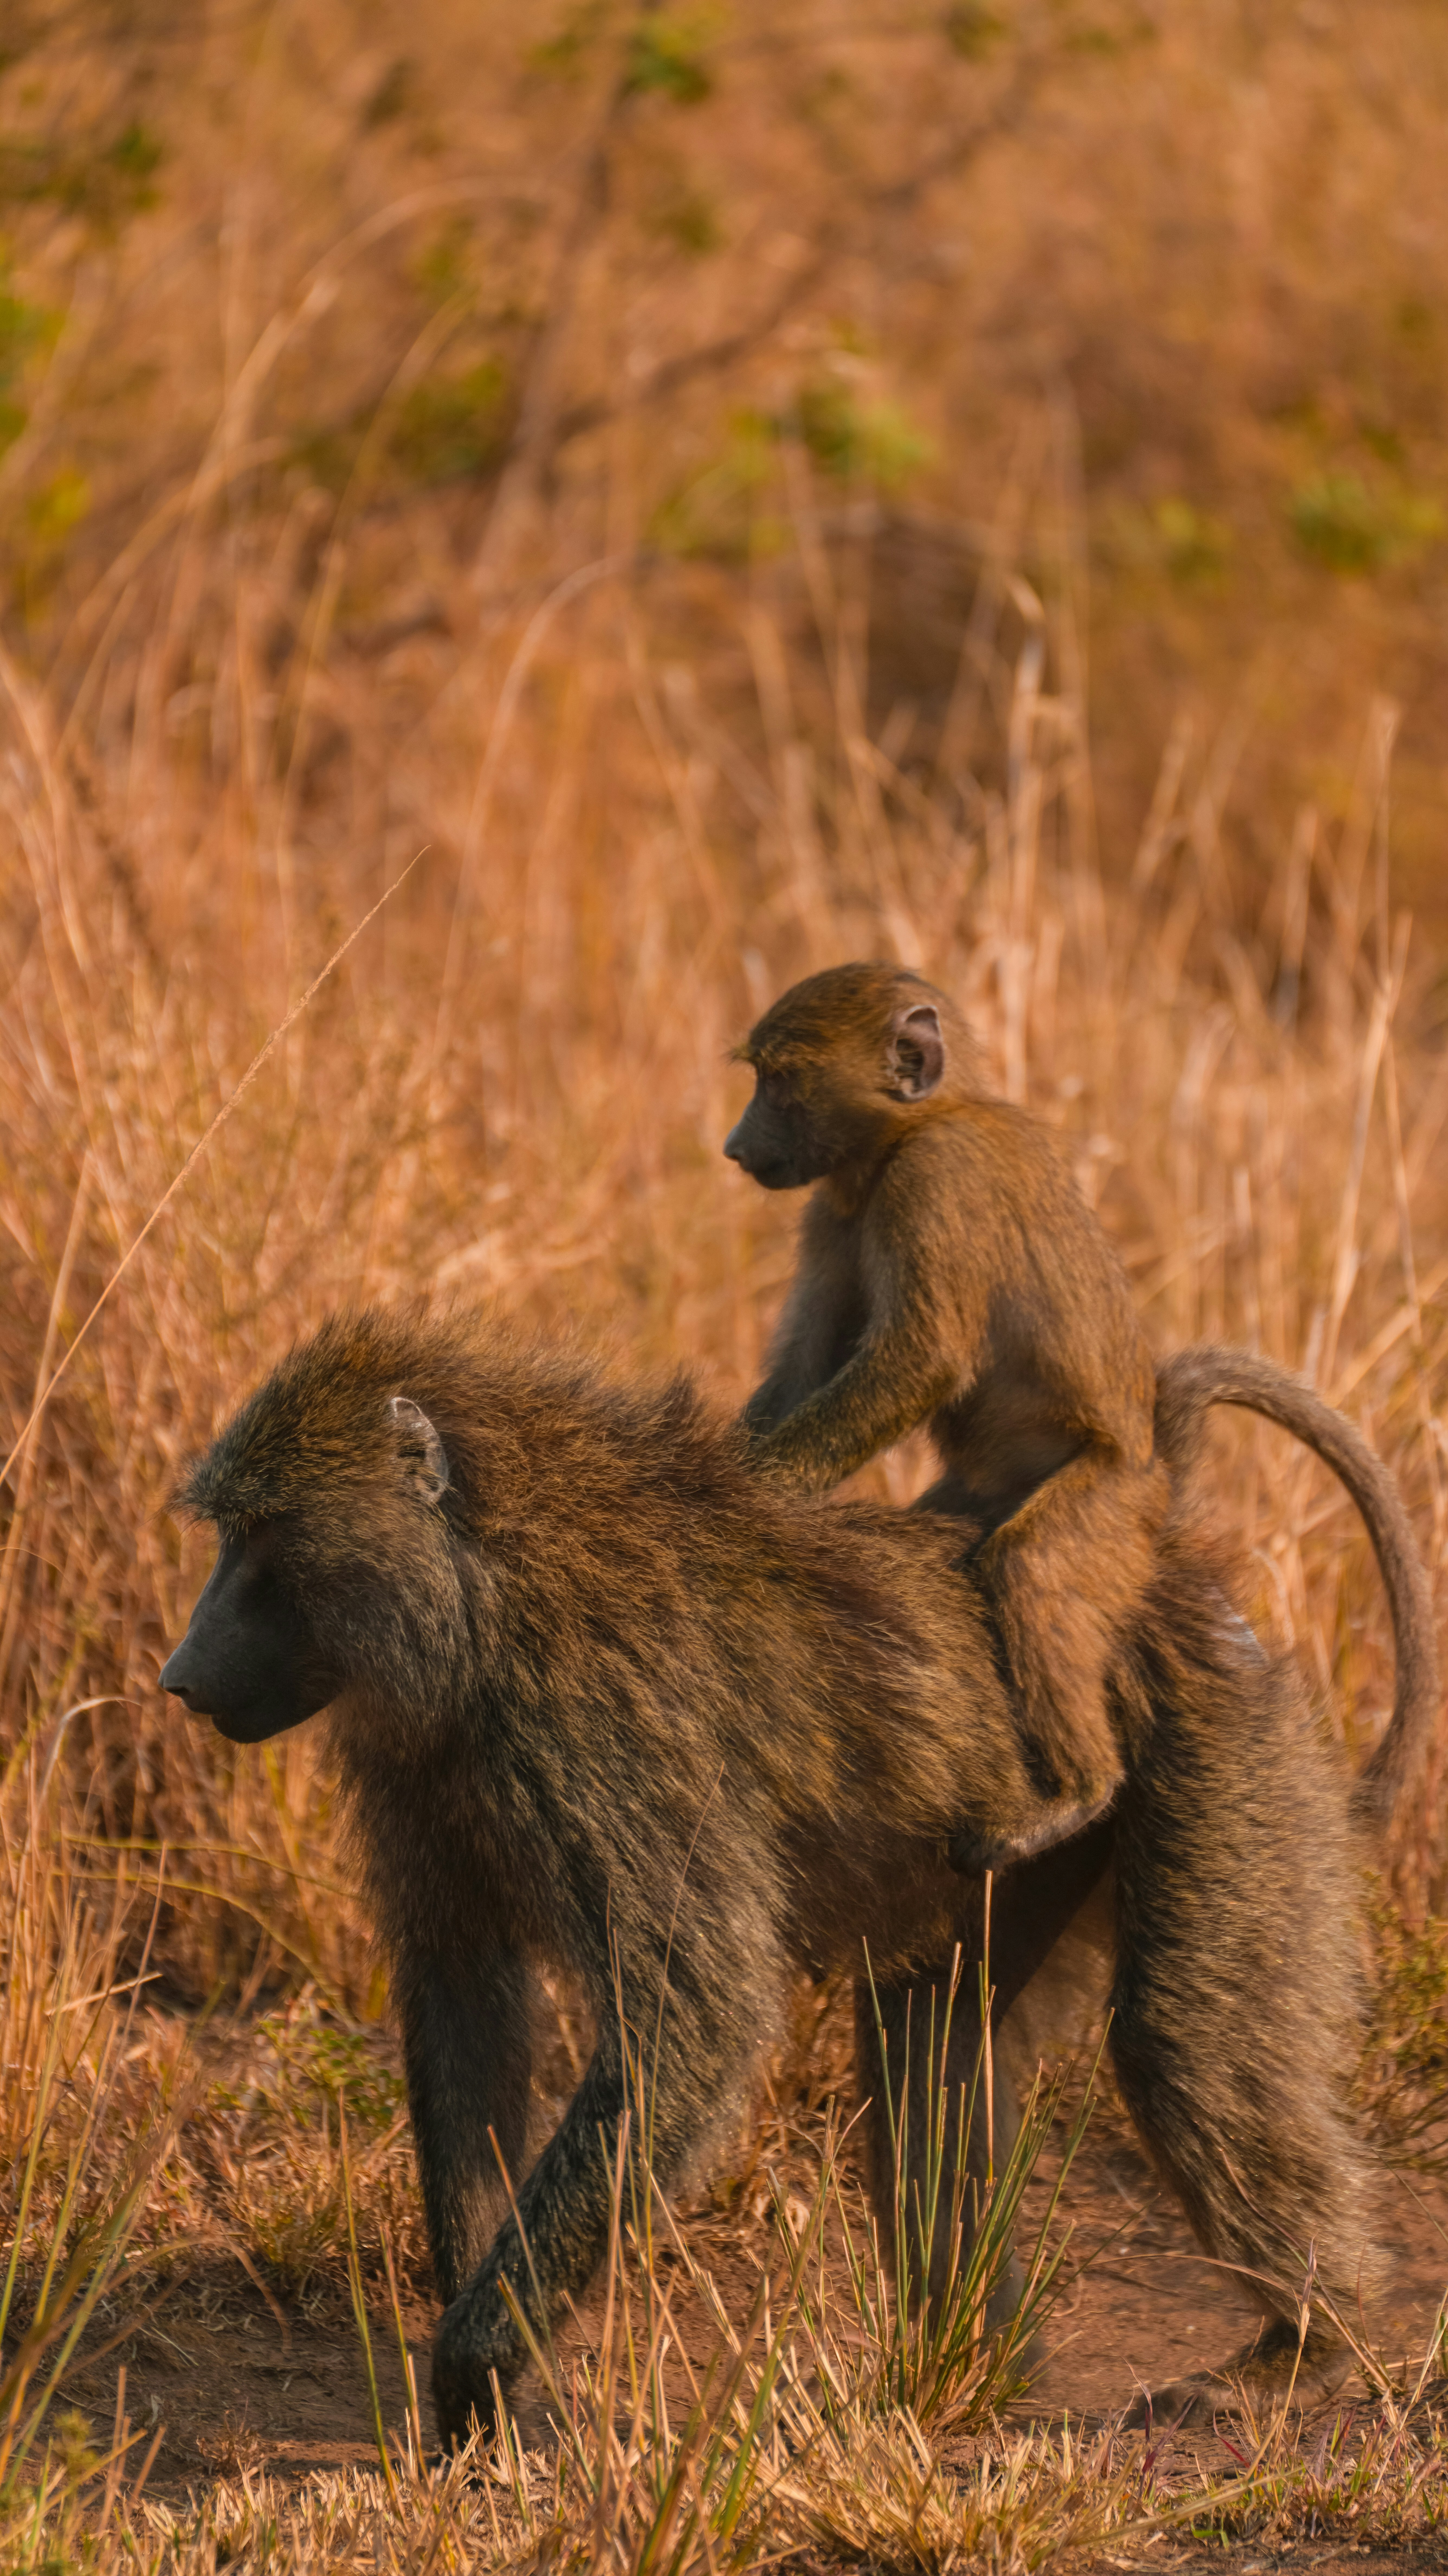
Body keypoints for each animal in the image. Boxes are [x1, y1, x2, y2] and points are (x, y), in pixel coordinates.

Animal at [159, 1305, 1429, 2444]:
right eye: (228, 1535)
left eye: (260, 1538)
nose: (178, 1677)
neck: (484, 1581)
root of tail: (1151, 1563)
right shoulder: (416, 1759)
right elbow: (469, 2004)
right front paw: (493, 2390)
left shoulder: (599, 1728)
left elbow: (692, 2024)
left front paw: (476, 2367)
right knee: (927, 2046)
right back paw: (965, 2370)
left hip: (1211, 1736)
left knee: (1179, 2041)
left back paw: (1306, 2351)